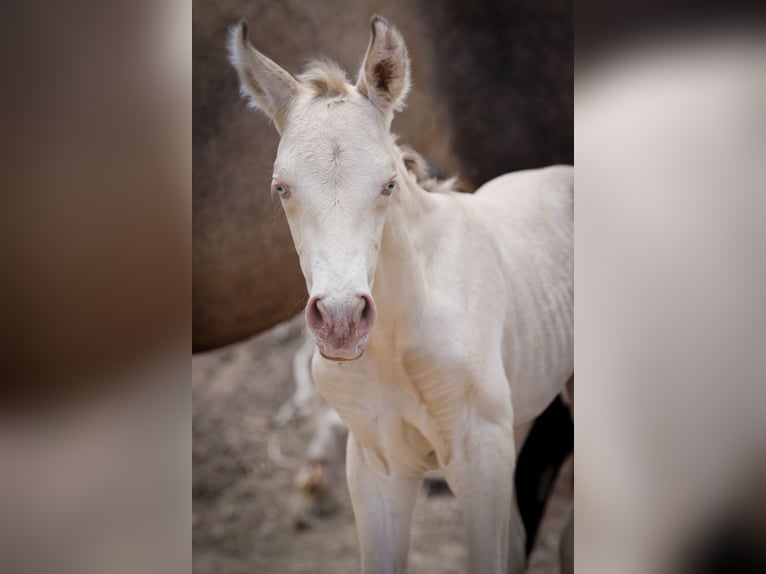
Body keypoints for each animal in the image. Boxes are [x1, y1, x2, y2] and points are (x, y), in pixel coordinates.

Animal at [194, 0, 568, 564]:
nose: (341, 322)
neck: (397, 342)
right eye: (280, 187)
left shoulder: (481, 459)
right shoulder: (377, 466)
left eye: (388, 183)